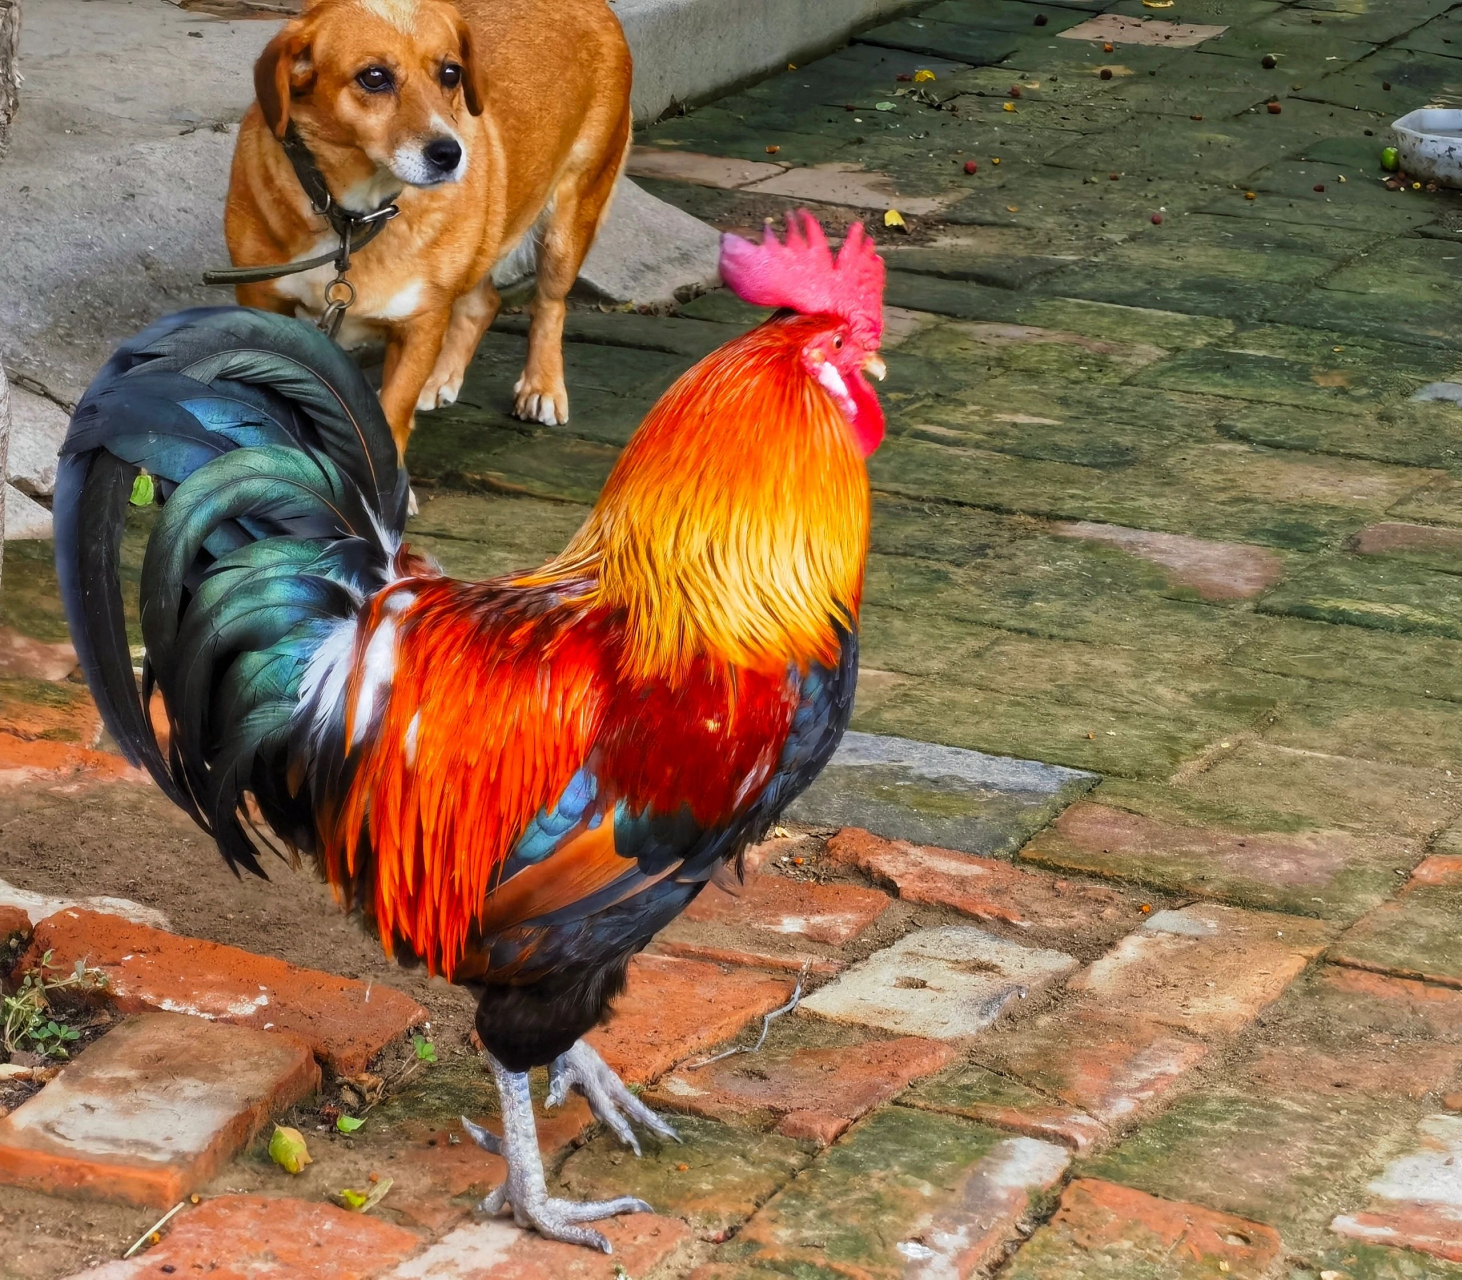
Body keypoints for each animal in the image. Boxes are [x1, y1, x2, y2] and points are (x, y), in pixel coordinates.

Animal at [225, 0, 631, 458]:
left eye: (451, 73)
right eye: (374, 77)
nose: (450, 154)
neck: (354, 216)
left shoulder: (420, 326)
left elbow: (390, 417)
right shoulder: (261, 300)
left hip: (570, 221)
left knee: (550, 303)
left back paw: (541, 386)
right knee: (483, 302)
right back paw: (441, 379)